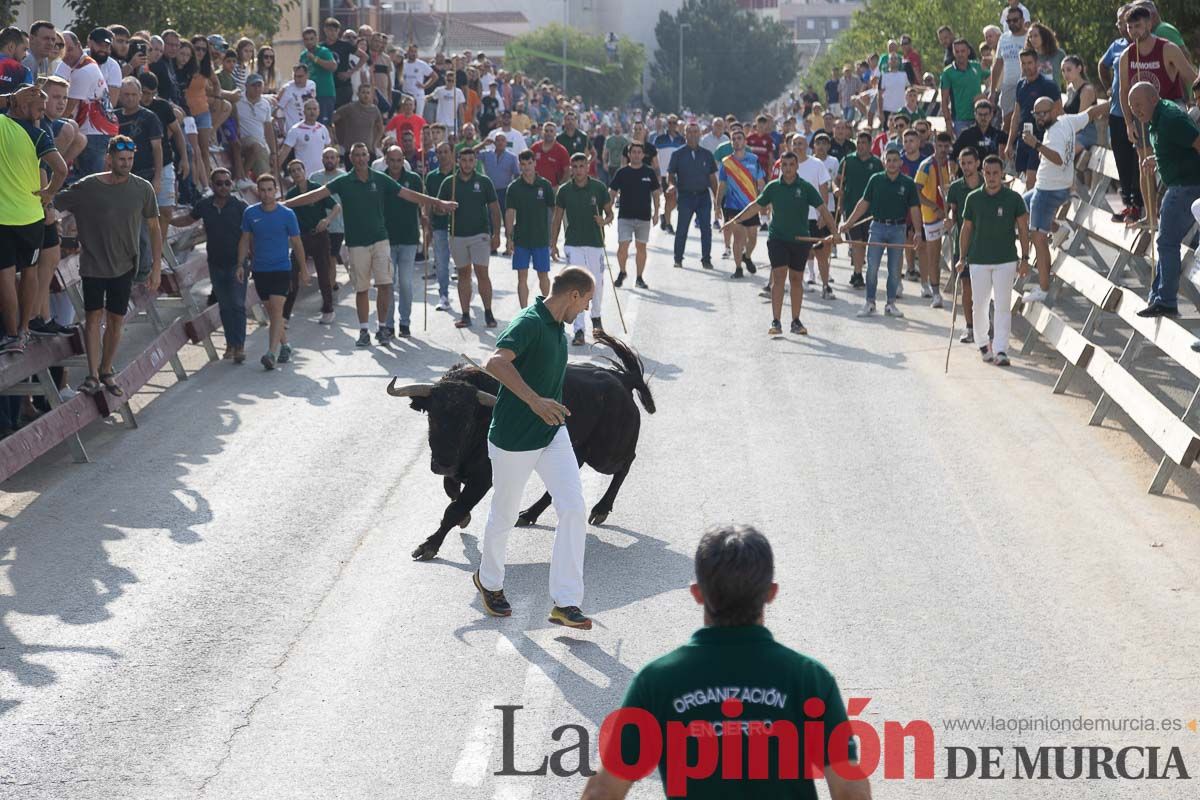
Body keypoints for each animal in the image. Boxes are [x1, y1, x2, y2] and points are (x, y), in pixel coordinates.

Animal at [388, 331, 657, 563]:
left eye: (466, 422)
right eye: (432, 417)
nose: (443, 464)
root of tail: (621, 379)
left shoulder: (483, 477)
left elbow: (454, 509)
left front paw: (429, 546)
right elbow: (452, 493)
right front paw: (462, 519)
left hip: (606, 454)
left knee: (625, 464)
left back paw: (600, 509)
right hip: (576, 452)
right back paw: (528, 514)